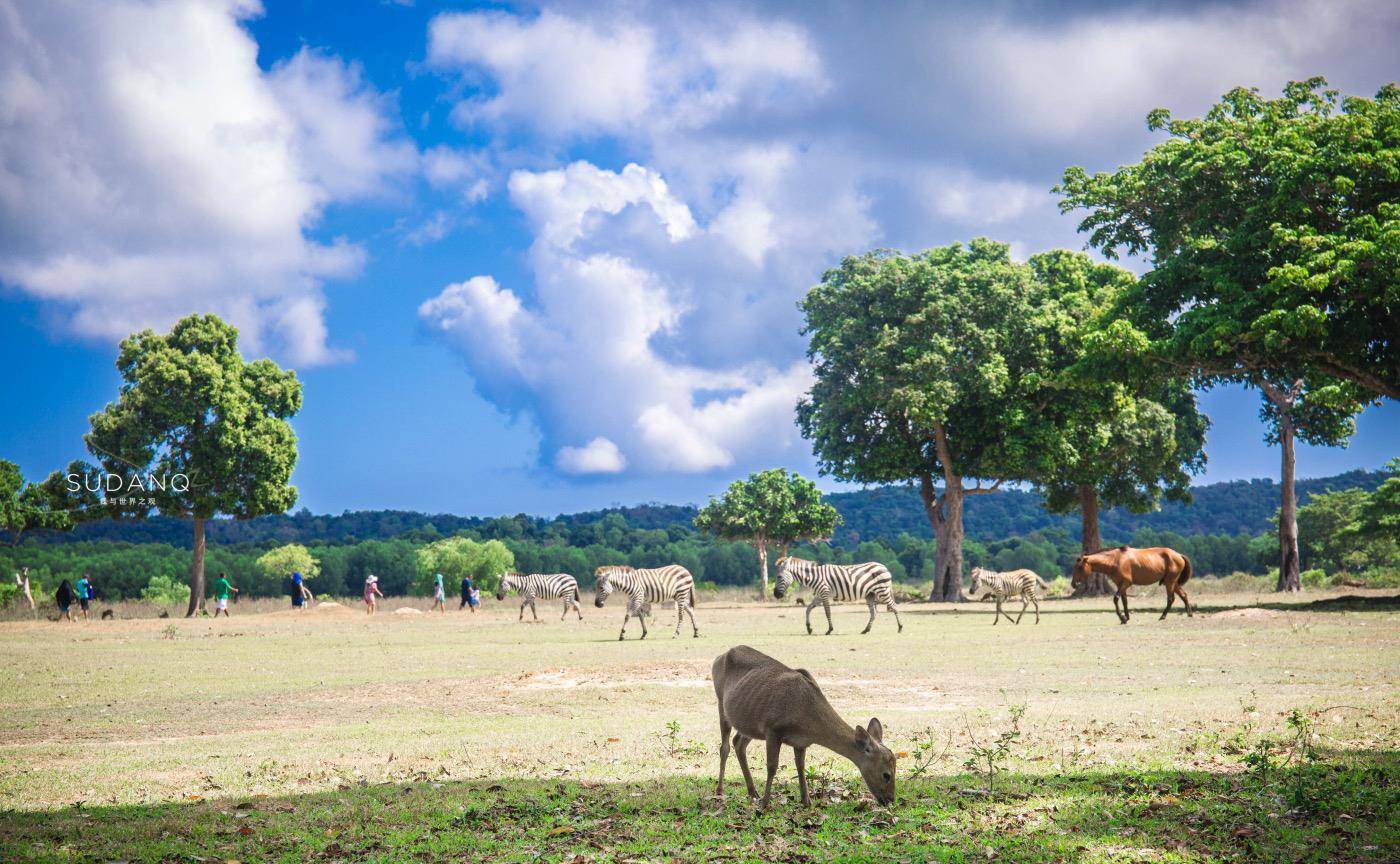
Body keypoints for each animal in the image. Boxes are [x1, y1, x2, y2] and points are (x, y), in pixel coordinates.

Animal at [711, 646, 896, 806]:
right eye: (886, 774)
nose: (890, 800)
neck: (807, 722)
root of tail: (718, 657)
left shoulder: (800, 742)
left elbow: (801, 767)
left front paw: (807, 801)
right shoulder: (773, 728)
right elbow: (772, 766)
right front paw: (765, 804)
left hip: (749, 721)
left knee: (738, 742)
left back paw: (752, 791)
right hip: (721, 702)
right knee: (725, 746)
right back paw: (720, 790)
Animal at [772, 560, 901, 632]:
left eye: (779, 576)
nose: (775, 594)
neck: (813, 577)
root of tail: (884, 567)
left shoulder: (824, 593)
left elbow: (827, 612)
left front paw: (829, 629)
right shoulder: (819, 595)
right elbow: (808, 609)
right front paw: (809, 628)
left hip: (882, 590)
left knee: (894, 606)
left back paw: (900, 627)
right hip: (870, 594)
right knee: (874, 613)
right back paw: (866, 630)